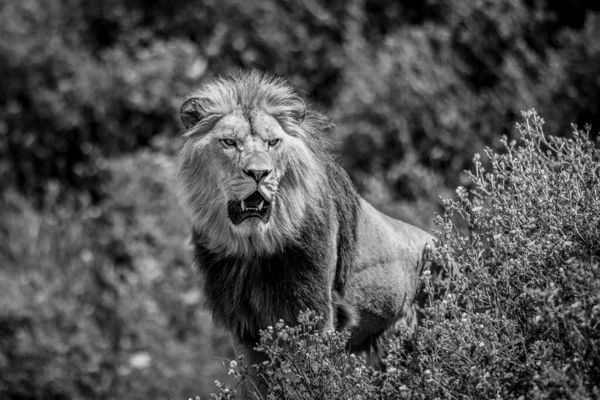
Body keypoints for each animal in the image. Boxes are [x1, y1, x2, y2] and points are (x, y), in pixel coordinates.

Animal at [178, 69, 436, 396]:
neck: (254, 246)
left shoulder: (315, 316)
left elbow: (317, 381)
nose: (259, 173)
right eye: (229, 142)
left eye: (273, 142)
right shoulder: (244, 326)